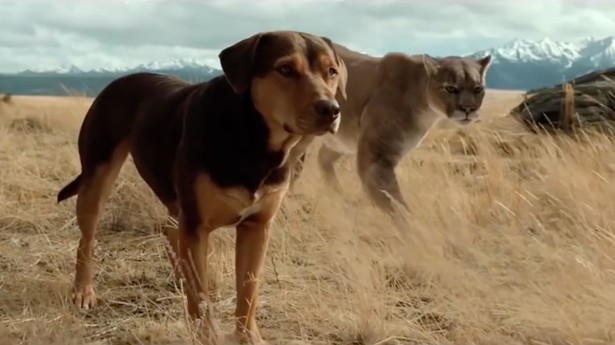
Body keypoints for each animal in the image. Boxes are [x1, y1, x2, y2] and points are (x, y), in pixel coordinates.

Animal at [57, 30, 346, 344]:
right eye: (285, 69)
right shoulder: (196, 227)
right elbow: (201, 295)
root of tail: (119, 80)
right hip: (97, 177)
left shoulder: (257, 226)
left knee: (170, 229)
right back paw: (83, 291)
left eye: (331, 72)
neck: (254, 141)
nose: (331, 110)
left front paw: (248, 336)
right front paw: (206, 333)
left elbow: (249, 290)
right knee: (87, 240)